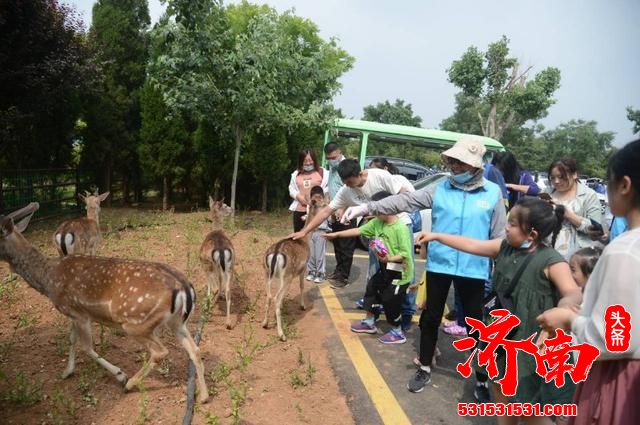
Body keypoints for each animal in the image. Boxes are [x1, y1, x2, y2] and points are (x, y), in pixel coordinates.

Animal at [0, 203, 209, 404]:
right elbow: (72, 339)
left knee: (160, 352)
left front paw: (120, 375)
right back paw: (204, 396)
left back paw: (130, 384)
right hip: (177, 322)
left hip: (136, 323)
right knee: (195, 349)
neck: (48, 279)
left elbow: (87, 347)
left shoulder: (80, 314)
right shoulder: (72, 312)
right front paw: (67, 372)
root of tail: (184, 288)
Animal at [199, 197, 235, 329]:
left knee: (213, 287)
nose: (232, 208)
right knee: (228, 290)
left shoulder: (204, 264)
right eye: (225, 205)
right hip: (230, 265)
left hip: (209, 264)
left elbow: (212, 286)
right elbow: (220, 281)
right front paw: (220, 296)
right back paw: (228, 323)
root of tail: (220, 249)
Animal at [262, 193, 323, 341]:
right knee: (276, 298)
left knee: (269, 295)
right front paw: (303, 306)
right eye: (320, 201)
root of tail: (276, 253)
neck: (305, 239)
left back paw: (265, 323)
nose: (327, 204)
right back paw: (282, 334)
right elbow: (302, 285)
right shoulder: (304, 267)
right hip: (287, 275)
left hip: (267, 272)